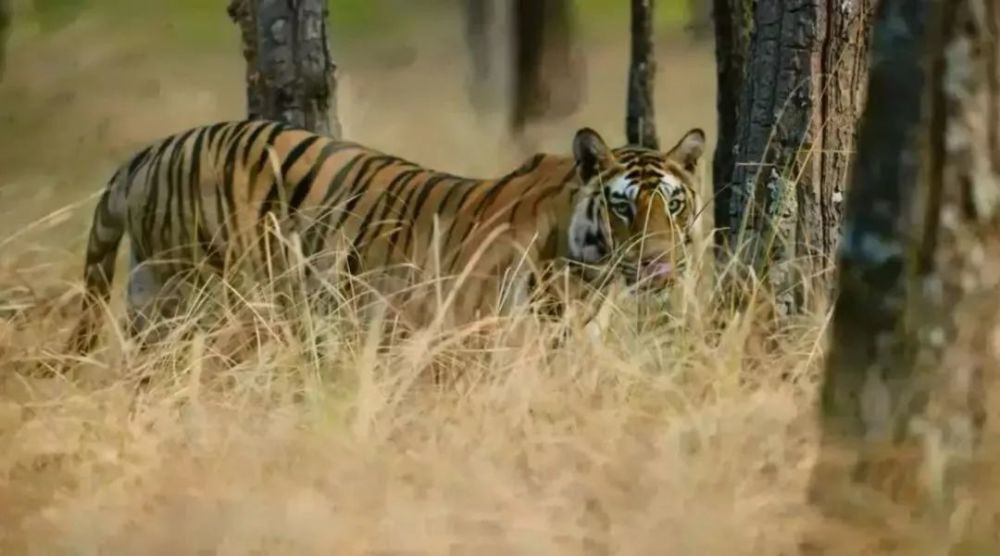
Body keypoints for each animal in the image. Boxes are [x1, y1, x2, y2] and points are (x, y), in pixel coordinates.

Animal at [66, 119, 708, 358]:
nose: (659, 265)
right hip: (195, 295)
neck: (582, 278)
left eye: (673, 205)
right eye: (623, 206)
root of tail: (151, 151)